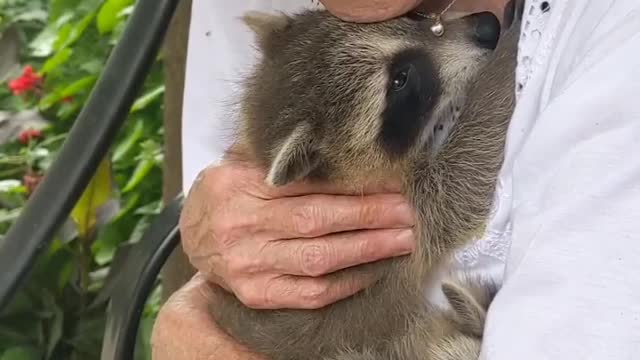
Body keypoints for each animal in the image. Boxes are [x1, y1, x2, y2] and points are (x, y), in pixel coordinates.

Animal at [212, 2, 524, 360]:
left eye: (412, 16)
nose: (487, 26)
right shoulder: (407, 224)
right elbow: (465, 172)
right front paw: (508, 58)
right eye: (400, 80)